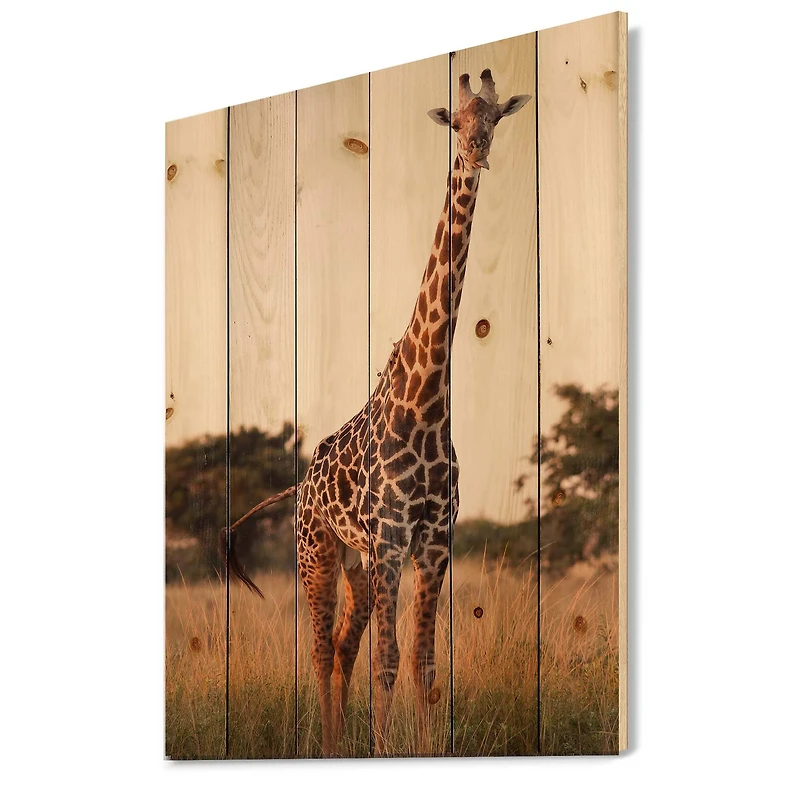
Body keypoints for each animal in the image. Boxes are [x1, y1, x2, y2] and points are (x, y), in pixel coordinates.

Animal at [224, 69, 531, 756]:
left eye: (496, 117)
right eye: (456, 121)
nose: (476, 153)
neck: (427, 405)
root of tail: (300, 483)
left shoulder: (433, 542)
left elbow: (423, 663)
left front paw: (423, 748)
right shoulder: (391, 539)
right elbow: (387, 662)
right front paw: (387, 749)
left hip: (358, 564)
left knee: (342, 647)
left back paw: (340, 745)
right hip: (318, 552)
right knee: (320, 650)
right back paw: (328, 746)